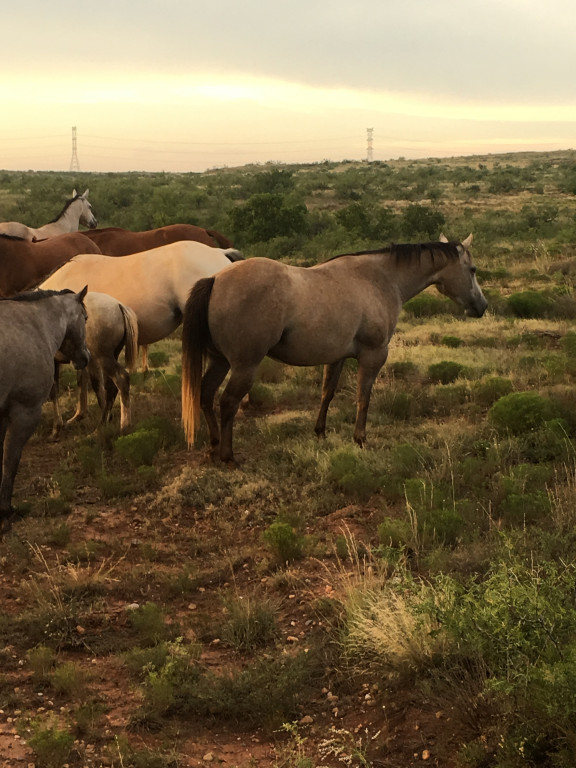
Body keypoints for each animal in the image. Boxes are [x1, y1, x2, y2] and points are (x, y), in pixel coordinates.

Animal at [0, 287, 89, 533]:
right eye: (86, 318)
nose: (86, 357)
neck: (34, 326)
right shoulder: (25, 413)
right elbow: (10, 462)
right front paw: (5, 513)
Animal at [51, 292, 139, 436]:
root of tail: (119, 305)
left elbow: (53, 391)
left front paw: (56, 428)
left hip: (103, 357)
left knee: (121, 379)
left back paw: (121, 426)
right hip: (111, 356)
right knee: (110, 387)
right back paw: (103, 424)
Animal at [180, 236, 487, 464]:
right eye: (472, 270)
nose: (482, 306)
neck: (379, 279)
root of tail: (215, 280)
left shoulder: (336, 357)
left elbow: (327, 393)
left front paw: (320, 431)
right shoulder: (374, 355)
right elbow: (364, 396)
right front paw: (360, 438)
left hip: (220, 361)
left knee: (205, 394)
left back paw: (214, 444)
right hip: (244, 366)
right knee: (227, 402)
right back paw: (228, 455)